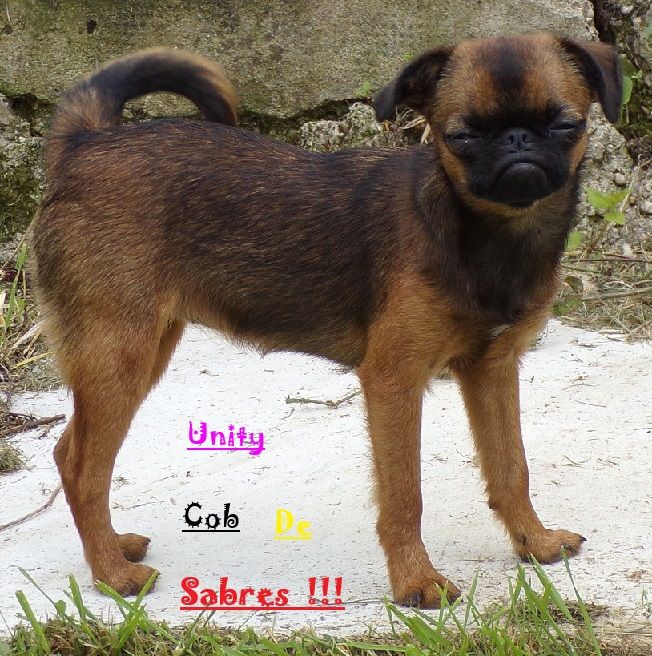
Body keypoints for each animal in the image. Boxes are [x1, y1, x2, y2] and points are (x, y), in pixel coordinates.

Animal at [31, 32, 622, 608]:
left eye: (566, 124)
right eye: (463, 136)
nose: (518, 142)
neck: (483, 234)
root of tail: (86, 143)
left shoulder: (492, 369)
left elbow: (511, 466)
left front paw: (535, 543)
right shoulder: (393, 381)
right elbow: (404, 496)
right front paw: (417, 582)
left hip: (138, 351)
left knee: (68, 452)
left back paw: (114, 547)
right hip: (119, 352)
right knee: (83, 468)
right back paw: (112, 575)